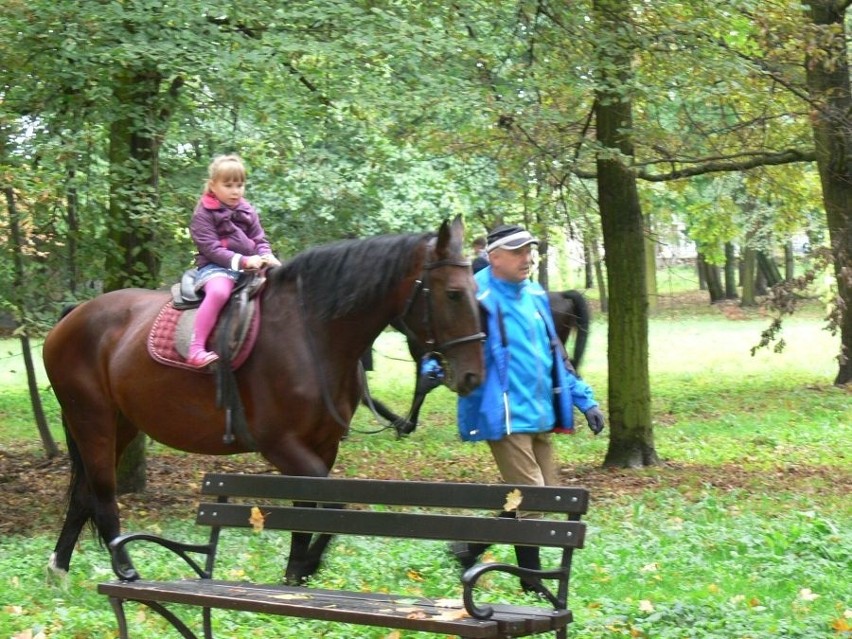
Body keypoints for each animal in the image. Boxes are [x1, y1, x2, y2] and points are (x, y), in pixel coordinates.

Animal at [45, 216, 486, 584]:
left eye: (476, 293)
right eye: (452, 294)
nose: (472, 375)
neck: (310, 335)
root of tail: (73, 316)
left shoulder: (321, 446)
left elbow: (307, 509)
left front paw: (295, 572)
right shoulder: (281, 445)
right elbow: (337, 506)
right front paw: (307, 565)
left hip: (120, 424)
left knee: (83, 495)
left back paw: (60, 568)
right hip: (93, 421)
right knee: (102, 495)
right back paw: (124, 569)